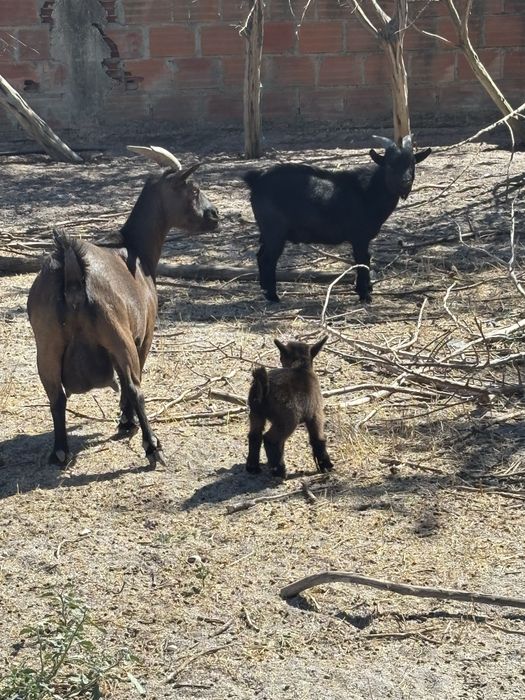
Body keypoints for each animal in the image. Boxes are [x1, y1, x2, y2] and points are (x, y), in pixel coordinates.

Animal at [27, 146, 219, 468]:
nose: (215, 216)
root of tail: (72, 271)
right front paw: (127, 422)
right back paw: (152, 447)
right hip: (118, 335)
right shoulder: (144, 334)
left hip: (48, 345)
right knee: (133, 386)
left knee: (56, 395)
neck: (135, 249)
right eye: (193, 189)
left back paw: (60, 451)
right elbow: (133, 382)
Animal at [243, 134, 431, 303]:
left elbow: (365, 260)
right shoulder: (359, 237)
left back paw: (266, 291)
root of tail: (255, 179)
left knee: (260, 256)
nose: (405, 182)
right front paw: (365, 295)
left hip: (267, 233)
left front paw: (366, 289)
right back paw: (273, 296)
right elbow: (362, 260)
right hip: (275, 231)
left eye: (412, 164)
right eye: (390, 164)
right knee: (268, 259)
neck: (368, 192)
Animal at [246, 336, 333, 478]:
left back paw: (253, 467)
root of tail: (264, 387)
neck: (300, 367)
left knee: (255, 436)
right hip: (288, 419)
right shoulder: (316, 414)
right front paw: (325, 465)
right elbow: (318, 438)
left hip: (256, 413)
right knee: (271, 439)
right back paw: (279, 471)